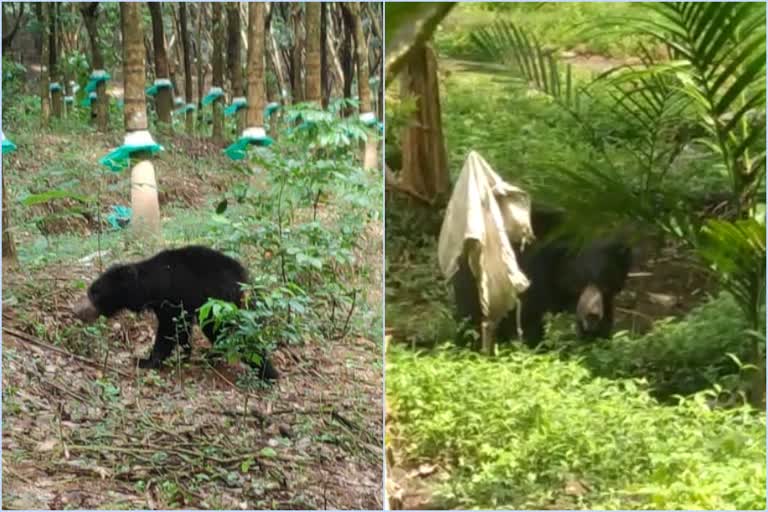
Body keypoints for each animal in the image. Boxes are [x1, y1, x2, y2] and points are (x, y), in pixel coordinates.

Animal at [73, 244, 280, 380]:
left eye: (95, 293)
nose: (77, 311)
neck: (148, 287)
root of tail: (246, 282)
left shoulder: (172, 297)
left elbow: (168, 331)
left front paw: (146, 361)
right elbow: (182, 330)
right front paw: (185, 353)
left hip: (220, 304)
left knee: (228, 332)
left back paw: (265, 371)